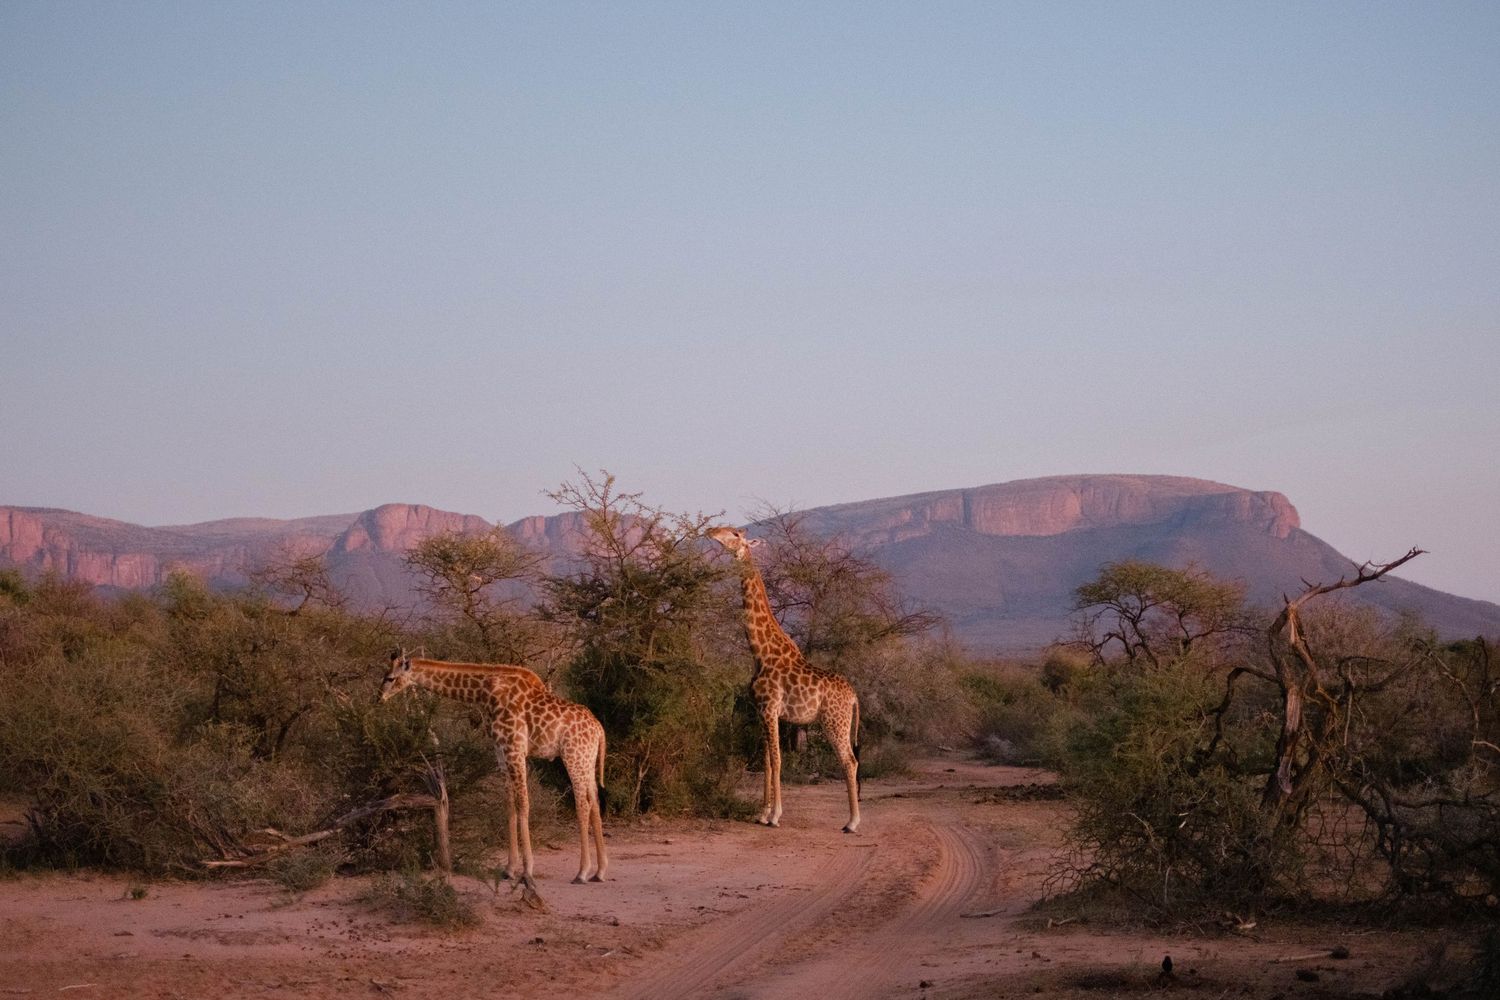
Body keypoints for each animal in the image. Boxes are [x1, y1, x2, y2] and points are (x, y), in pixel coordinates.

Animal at [379, 651, 608, 885]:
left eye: (390, 678)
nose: (380, 698)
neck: (485, 693)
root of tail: (599, 729)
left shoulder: (515, 749)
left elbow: (523, 804)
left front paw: (527, 870)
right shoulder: (501, 752)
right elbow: (510, 806)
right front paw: (509, 870)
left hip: (573, 756)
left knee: (583, 804)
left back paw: (582, 872)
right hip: (587, 760)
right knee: (595, 801)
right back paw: (599, 871)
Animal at [706, 525, 862, 833]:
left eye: (735, 534)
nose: (710, 531)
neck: (760, 652)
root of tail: (854, 697)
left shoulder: (770, 707)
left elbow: (777, 760)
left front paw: (775, 816)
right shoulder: (762, 711)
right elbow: (766, 761)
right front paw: (762, 813)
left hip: (834, 722)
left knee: (849, 761)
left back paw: (852, 823)